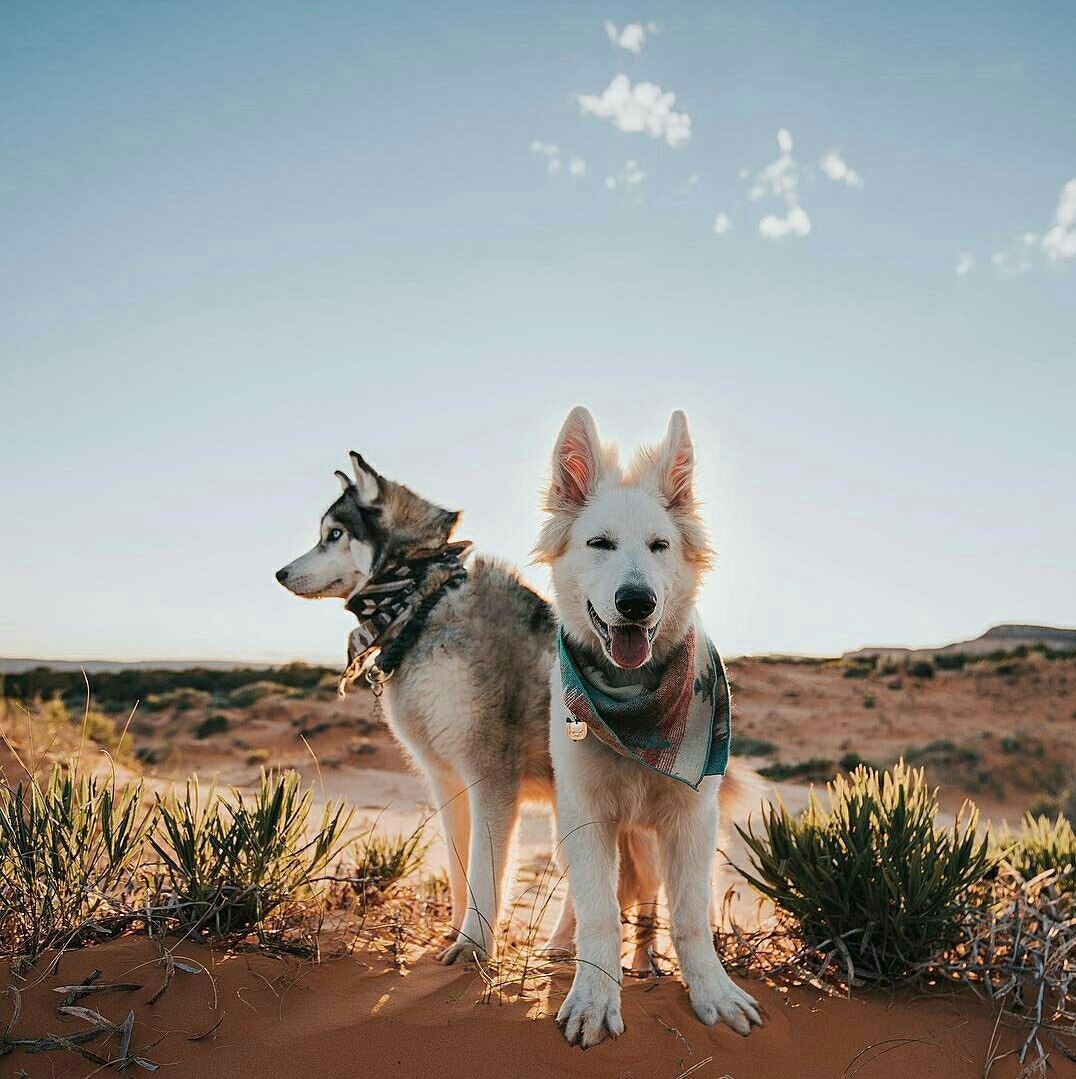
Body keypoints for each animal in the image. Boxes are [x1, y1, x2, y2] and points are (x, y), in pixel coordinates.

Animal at [533, 405, 759, 1044]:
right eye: (599, 543)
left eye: (660, 546)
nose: (637, 602)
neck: (635, 710)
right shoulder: (586, 813)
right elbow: (599, 912)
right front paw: (592, 997)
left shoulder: (691, 818)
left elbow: (688, 918)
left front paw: (712, 993)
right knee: (585, 900)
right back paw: (561, 945)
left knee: (652, 903)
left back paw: (645, 961)